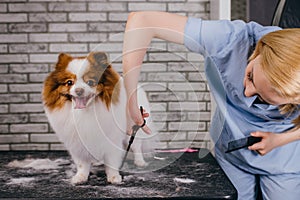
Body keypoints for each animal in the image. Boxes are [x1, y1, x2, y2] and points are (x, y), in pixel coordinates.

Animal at [42, 51, 152, 184]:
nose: (79, 90)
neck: (85, 112)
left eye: (90, 82)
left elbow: (112, 160)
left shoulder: (112, 139)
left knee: (136, 146)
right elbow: (82, 163)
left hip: (133, 126)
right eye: (69, 82)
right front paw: (81, 177)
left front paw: (114, 177)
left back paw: (140, 162)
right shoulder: (77, 142)